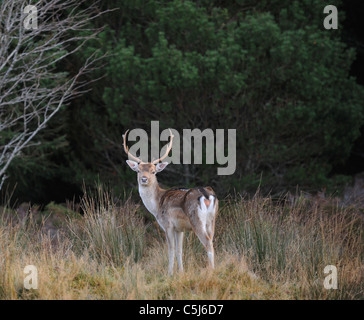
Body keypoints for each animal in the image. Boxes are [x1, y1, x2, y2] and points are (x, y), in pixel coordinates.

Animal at [123, 129, 218, 274]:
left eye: (153, 171)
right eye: (138, 171)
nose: (144, 179)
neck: (156, 205)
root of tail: (206, 195)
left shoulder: (168, 224)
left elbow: (171, 250)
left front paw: (170, 273)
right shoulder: (180, 229)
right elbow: (179, 250)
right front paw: (181, 272)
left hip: (196, 220)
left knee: (207, 243)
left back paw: (211, 271)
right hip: (212, 220)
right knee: (212, 240)